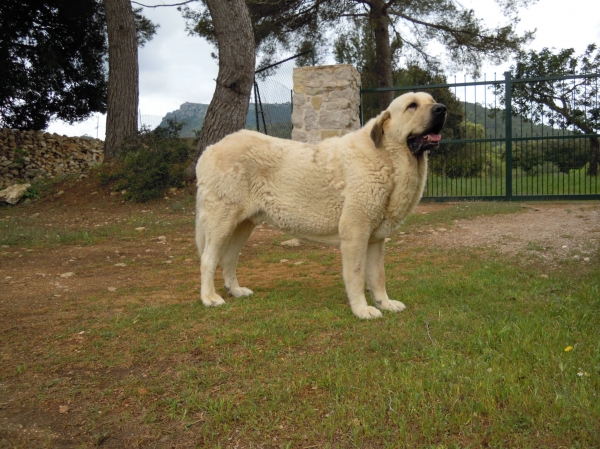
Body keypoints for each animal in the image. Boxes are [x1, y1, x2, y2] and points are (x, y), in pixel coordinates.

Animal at [195, 91, 442, 316]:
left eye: (432, 101)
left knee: (229, 258)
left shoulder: (376, 239)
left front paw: (385, 303)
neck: (386, 158)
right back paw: (209, 298)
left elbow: (378, 276)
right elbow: (356, 274)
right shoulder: (355, 233)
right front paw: (362, 310)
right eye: (412, 106)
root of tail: (210, 150)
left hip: (243, 224)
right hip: (222, 220)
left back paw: (236, 290)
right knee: (208, 259)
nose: (442, 109)